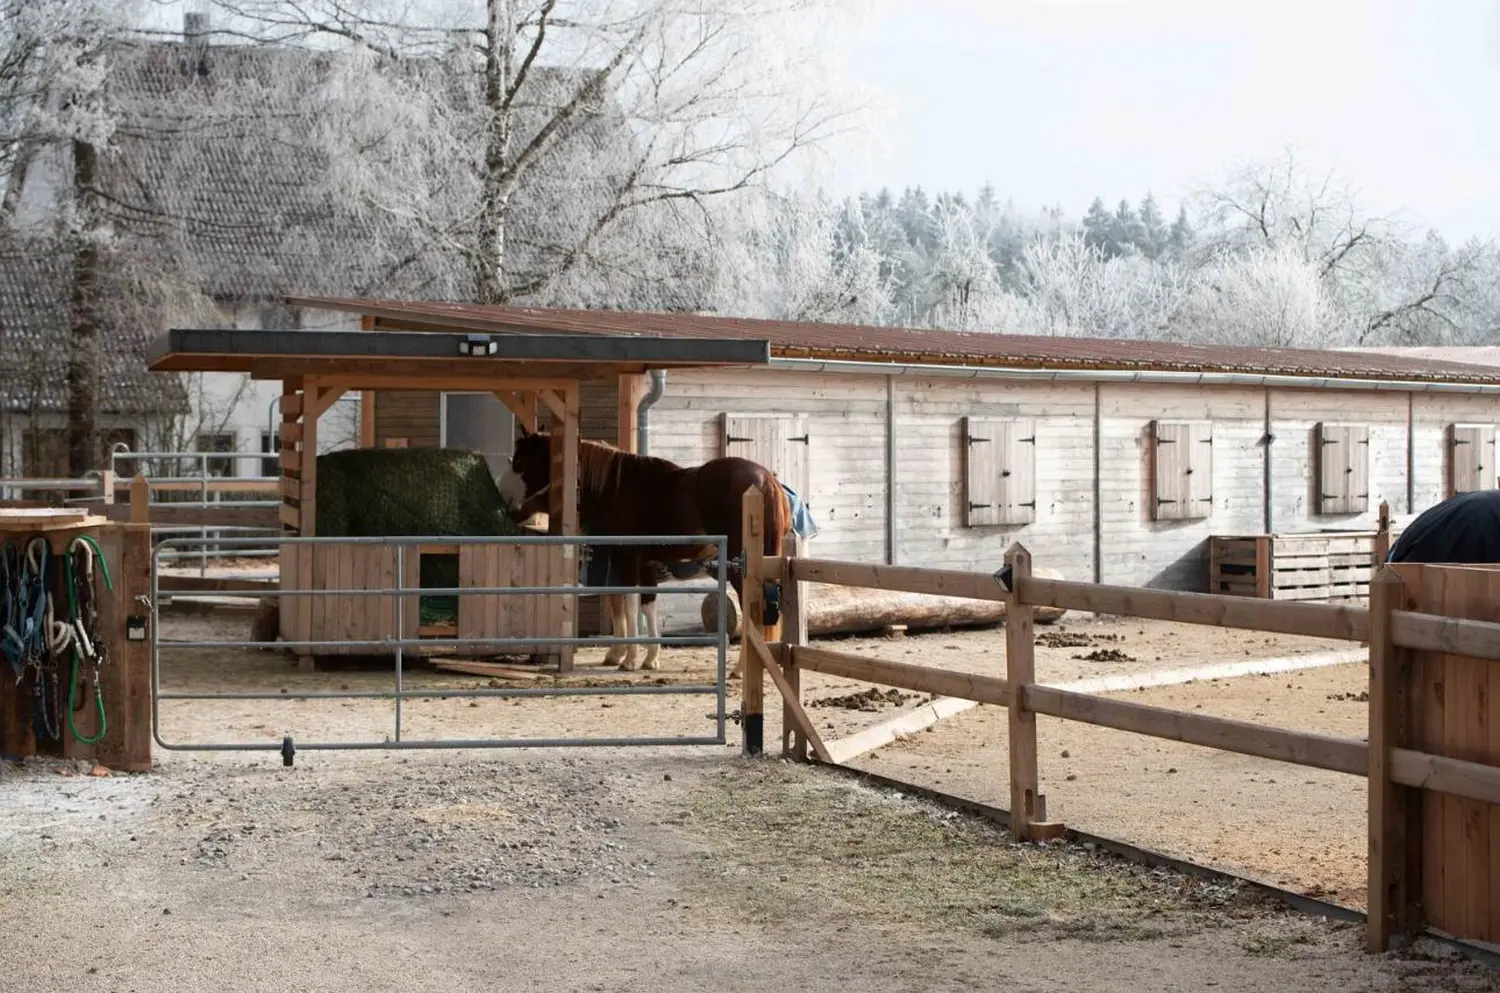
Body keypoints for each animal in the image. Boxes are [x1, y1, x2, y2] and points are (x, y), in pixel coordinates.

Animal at [501, 429, 792, 672]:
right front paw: (650, 658)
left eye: (520, 461)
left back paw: (741, 669)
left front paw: (629, 659)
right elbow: (647, 606)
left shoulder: (626, 559)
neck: (615, 487)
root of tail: (765, 479)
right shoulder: (647, 564)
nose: (504, 498)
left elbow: (629, 606)